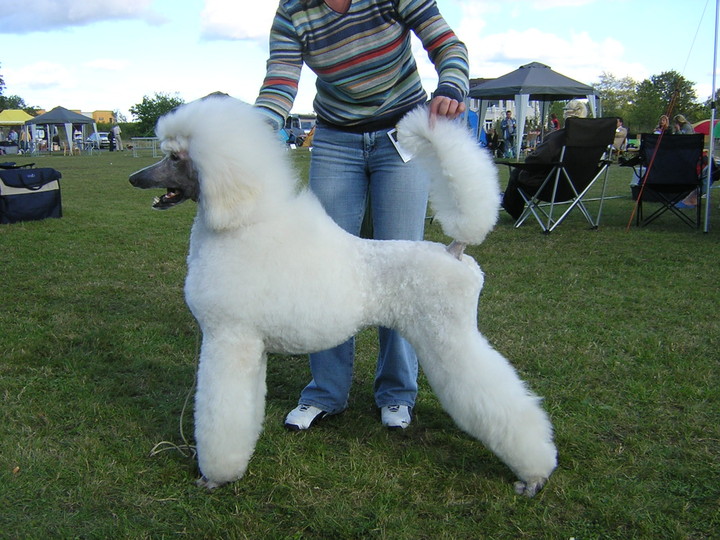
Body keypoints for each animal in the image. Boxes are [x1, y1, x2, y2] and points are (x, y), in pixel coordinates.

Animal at [129, 95, 557, 497]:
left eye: (174, 157)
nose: (135, 178)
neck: (238, 223)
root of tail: (455, 250)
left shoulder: (228, 339)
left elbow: (221, 413)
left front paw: (216, 475)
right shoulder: (248, 346)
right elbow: (246, 406)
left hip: (447, 335)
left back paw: (534, 474)